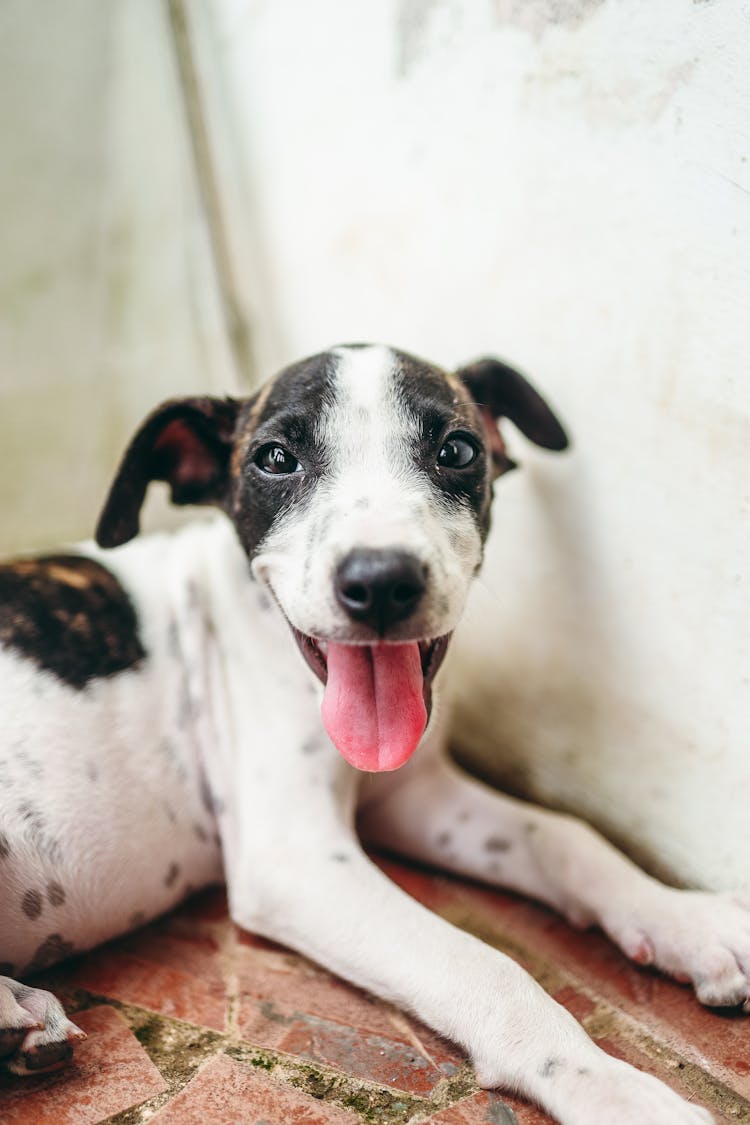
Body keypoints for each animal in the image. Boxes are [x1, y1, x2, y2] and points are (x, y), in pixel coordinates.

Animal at [0, 344, 746, 1125]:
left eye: (457, 450)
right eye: (274, 458)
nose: (382, 581)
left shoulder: (415, 800)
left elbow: (564, 835)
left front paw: (686, 919)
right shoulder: (298, 859)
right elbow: (484, 961)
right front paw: (605, 1082)